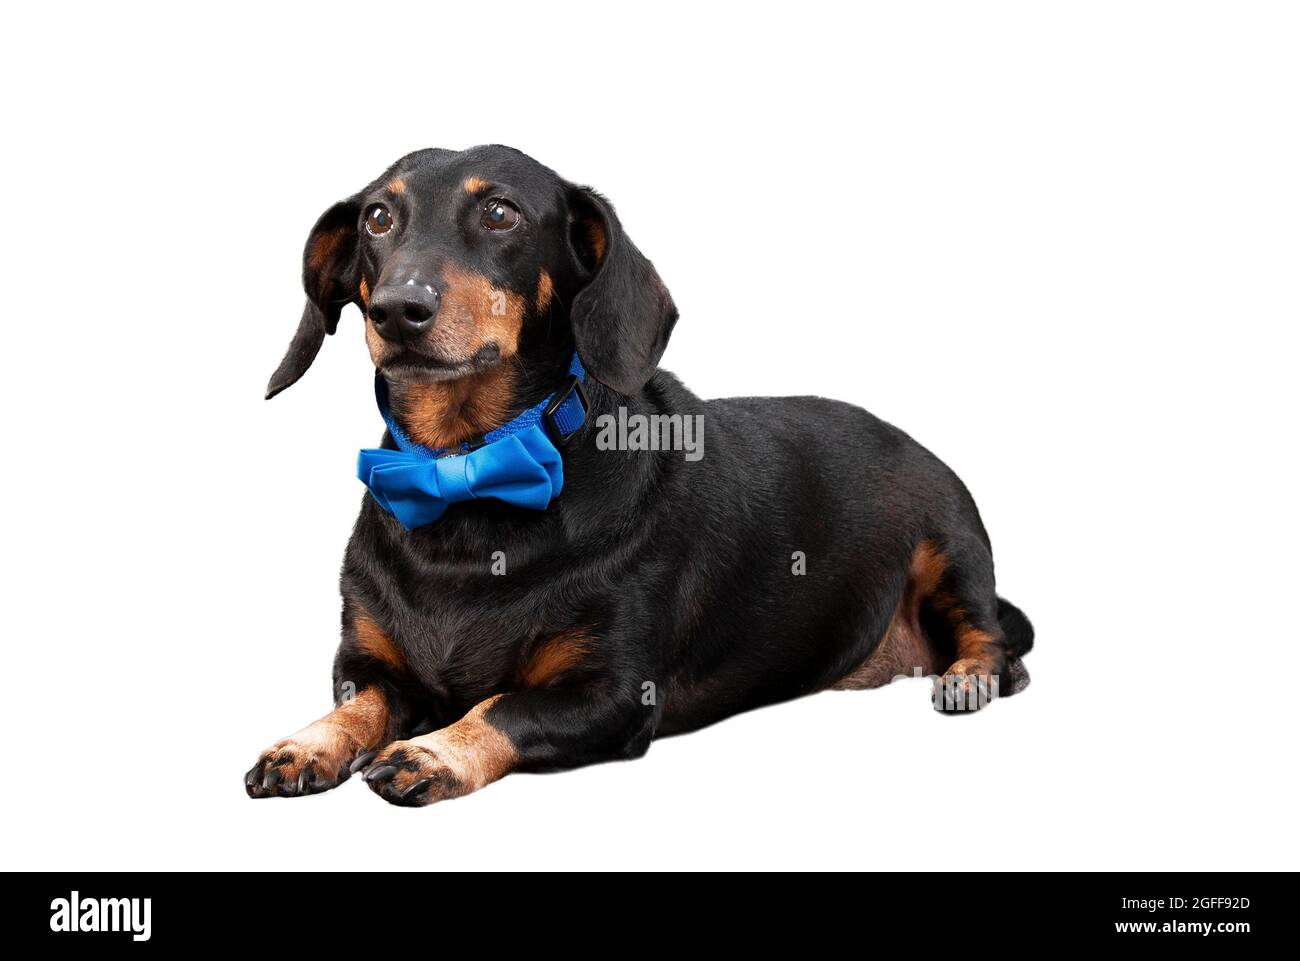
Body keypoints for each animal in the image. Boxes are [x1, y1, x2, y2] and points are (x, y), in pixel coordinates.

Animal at [245, 143, 1034, 806]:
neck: (464, 471)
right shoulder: (364, 665)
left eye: (501, 212)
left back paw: (971, 675)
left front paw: (435, 751)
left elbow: (503, 706)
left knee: (993, 636)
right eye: (378, 217)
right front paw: (305, 743)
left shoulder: (613, 694)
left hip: (950, 545)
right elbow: (359, 706)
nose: (396, 309)